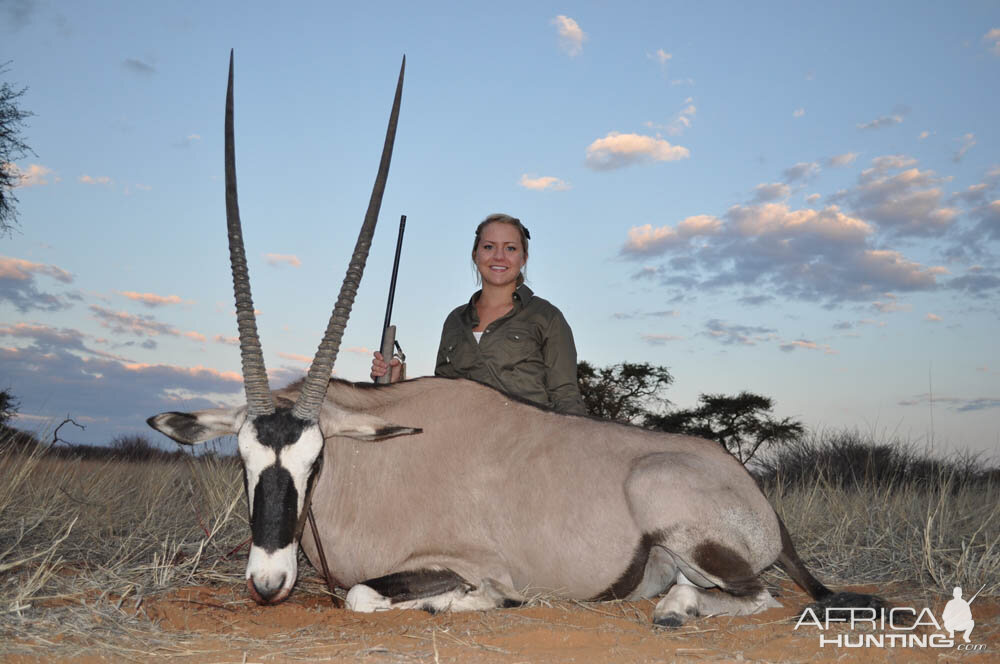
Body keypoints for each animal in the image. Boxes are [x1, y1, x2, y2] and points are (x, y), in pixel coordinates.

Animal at [148, 53, 884, 628]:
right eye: (243, 461)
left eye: (315, 462)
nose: (268, 582)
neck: (376, 465)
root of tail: (753, 491)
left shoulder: (461, 560)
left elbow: (363, 595)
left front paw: (474, 602)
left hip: (675, 510)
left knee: (763, 594)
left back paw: (676, 610)